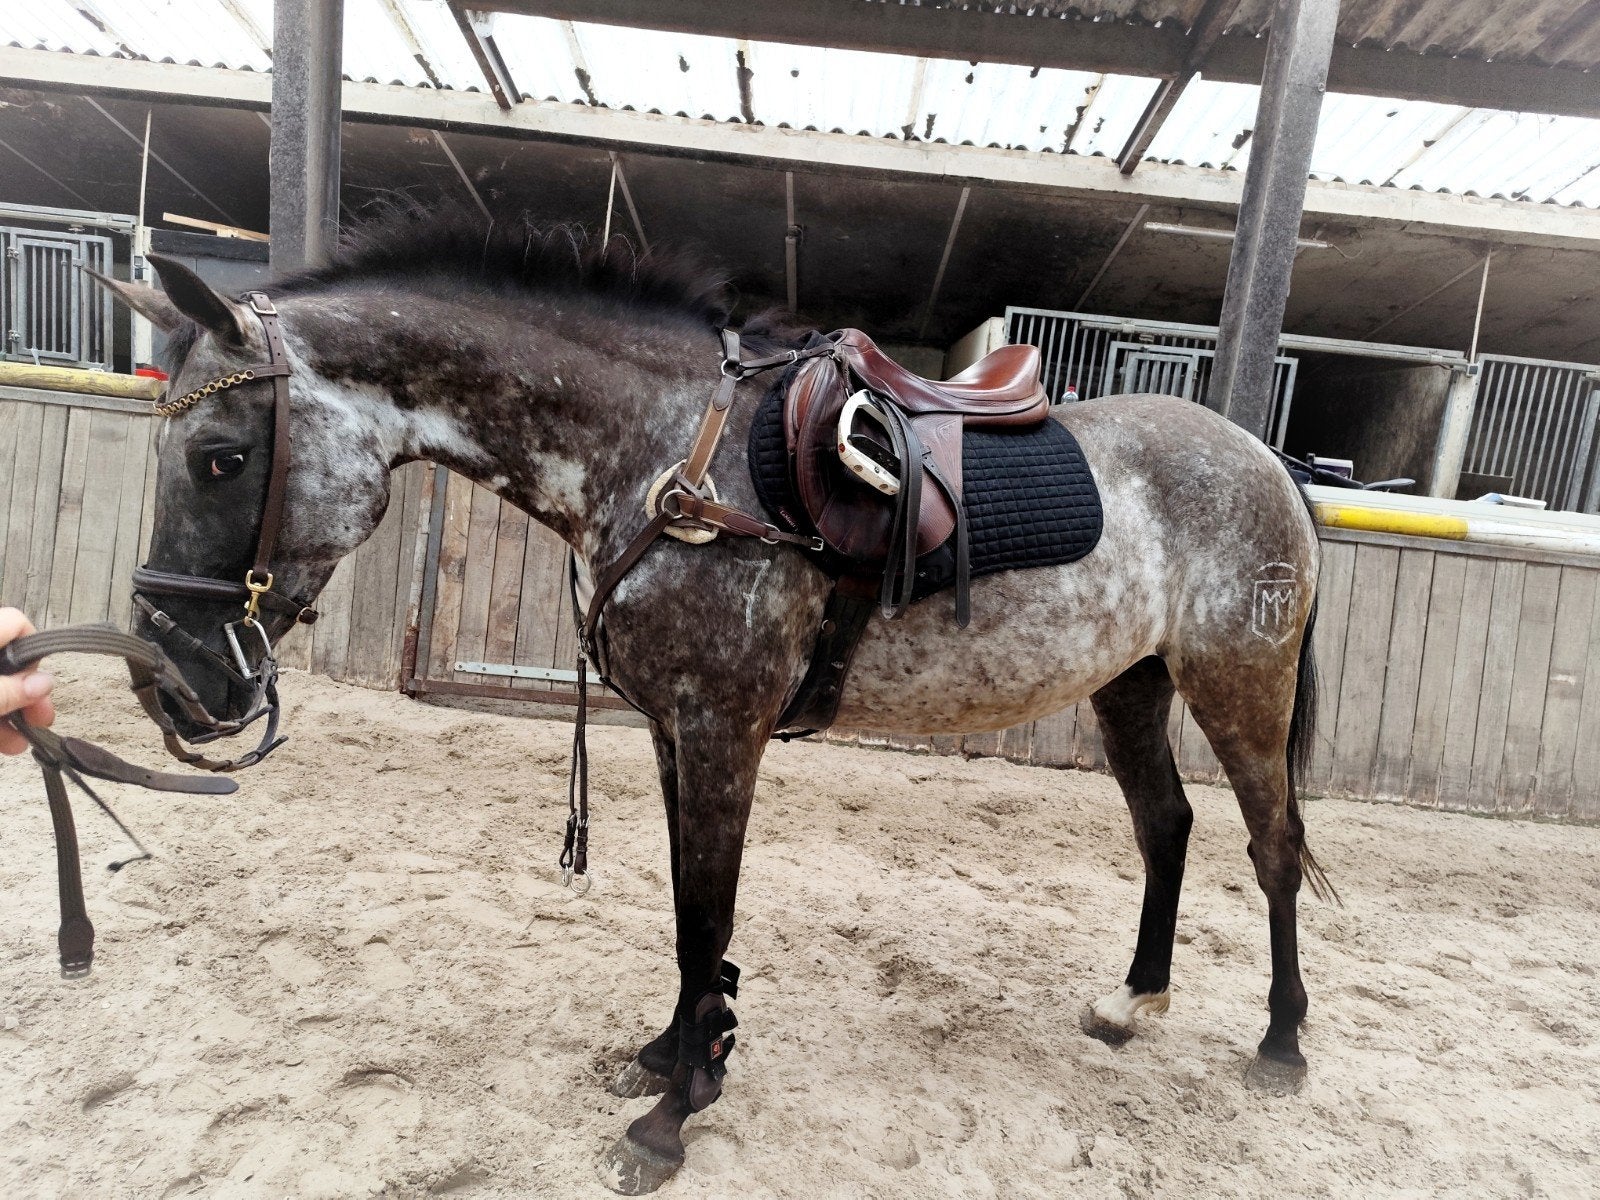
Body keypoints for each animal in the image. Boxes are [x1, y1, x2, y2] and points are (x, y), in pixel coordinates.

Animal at [96, 207, 1330, 1195]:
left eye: (218, 456)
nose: (169, 679)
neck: (670, 464)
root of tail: (1266, 461)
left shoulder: (722, 728)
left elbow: (708, 915)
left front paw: (672, 1113)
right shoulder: (668, 730)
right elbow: (691, 925)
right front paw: (673, 1058)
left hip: (1241, 683)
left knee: (1272, 845)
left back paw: (1281, 1043)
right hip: (1133, 687)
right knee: (1167, 827)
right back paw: (1134, 1002)